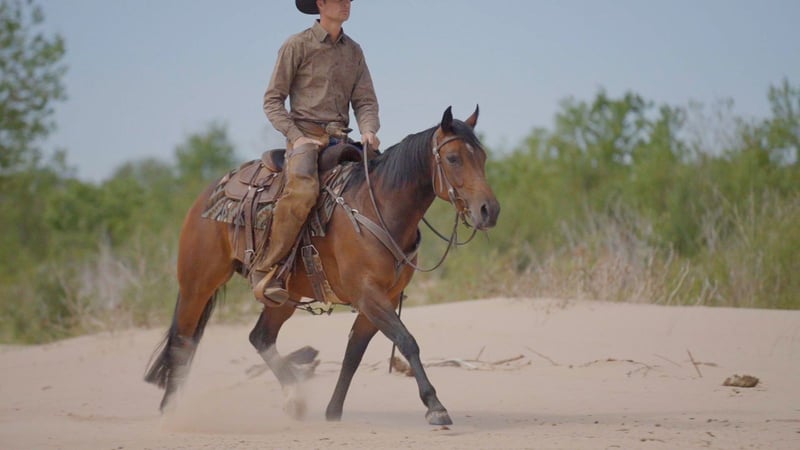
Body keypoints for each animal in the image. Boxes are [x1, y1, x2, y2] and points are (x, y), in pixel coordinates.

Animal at [144, 106, 500, 425]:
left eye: (482, 158)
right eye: (453, 159)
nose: (489, 210)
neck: (378, 207)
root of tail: (208, 194)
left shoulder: (381, 298)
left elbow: (353, 353)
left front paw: (333, 410)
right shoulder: (368, 295)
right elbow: (407, 341)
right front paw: (435, 407)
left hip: (283, 296)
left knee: (260, 337)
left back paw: (294, 398)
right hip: (197, 284)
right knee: (182, 341)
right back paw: (169, 411)